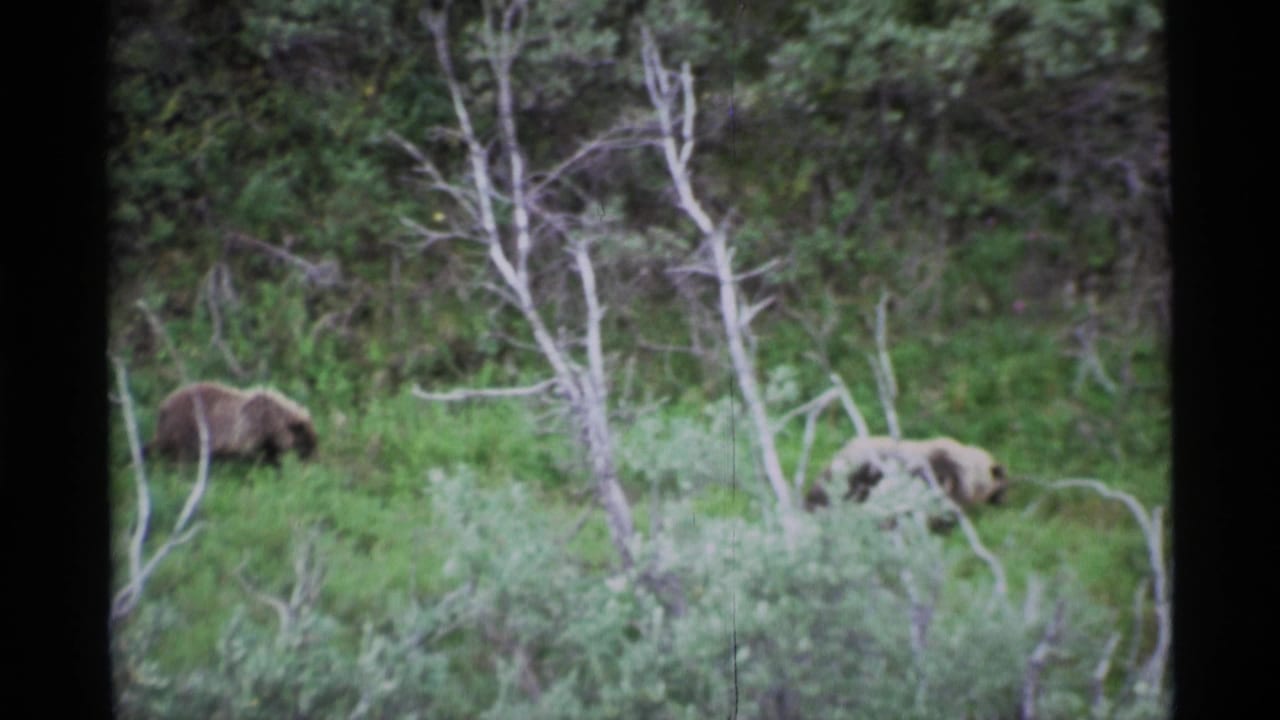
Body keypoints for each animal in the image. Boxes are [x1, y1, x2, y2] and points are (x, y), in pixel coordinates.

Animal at [146, 381, 317, 465]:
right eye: (306, 443)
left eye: (314, 441)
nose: (316, 459)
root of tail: (163, 409)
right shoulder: (255, 430)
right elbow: (261, 453)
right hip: (185, 430)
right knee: (181, 455)